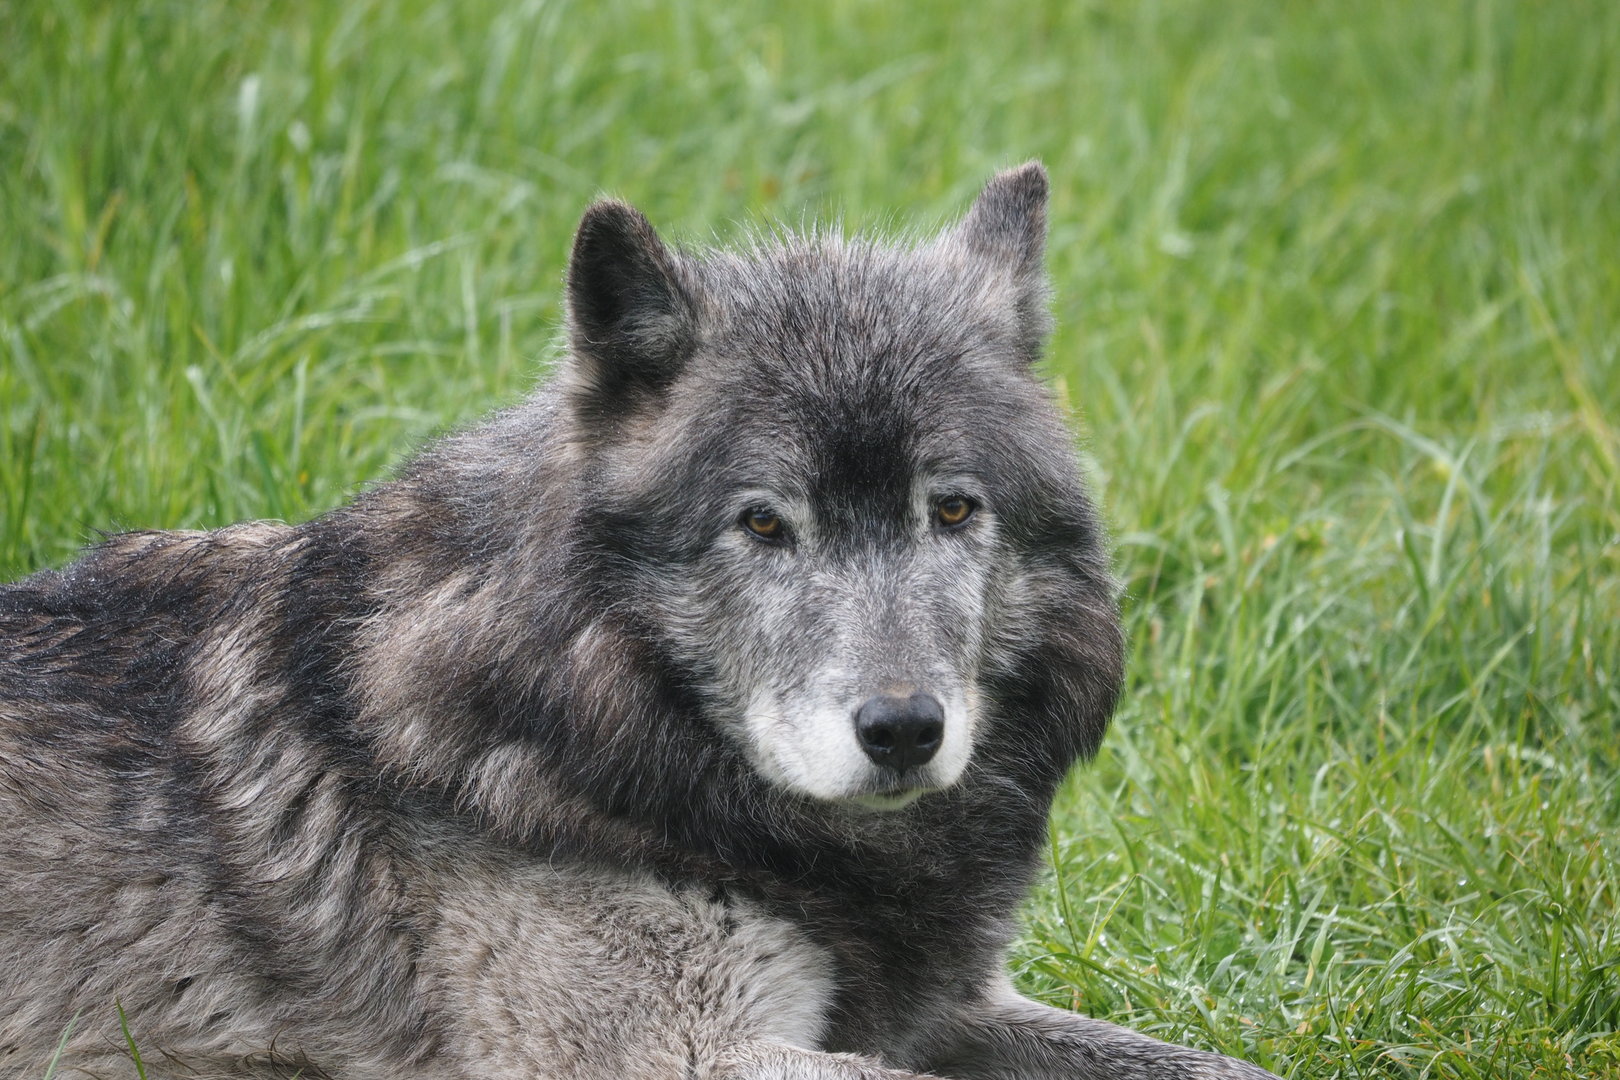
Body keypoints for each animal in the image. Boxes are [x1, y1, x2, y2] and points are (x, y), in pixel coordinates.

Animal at [0, 164, 1279, 1080]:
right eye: (763, 524)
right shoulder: (669, 1050)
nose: (903, 730)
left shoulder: (948, 1008)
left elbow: (1223, 1069)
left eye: (954, 508)